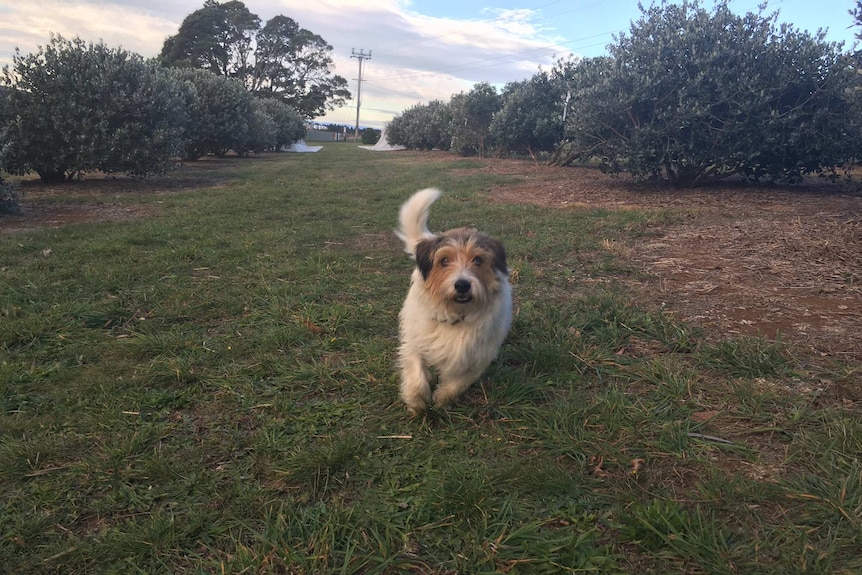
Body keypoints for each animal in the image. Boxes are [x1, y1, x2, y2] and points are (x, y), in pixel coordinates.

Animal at [396, 189, 512, 414]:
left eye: (478, 260)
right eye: (444, 261)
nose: (462, 285)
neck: (457, 314)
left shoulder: (476, 359)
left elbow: (457, 384)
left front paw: (442, 400)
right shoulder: (414, 342)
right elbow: (416, 372)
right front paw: (417, 402)